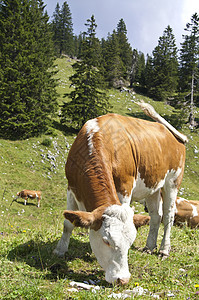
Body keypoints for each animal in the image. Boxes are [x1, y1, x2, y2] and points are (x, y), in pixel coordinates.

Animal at [54, 102, 187, 284]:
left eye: (130, 243)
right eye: (106, 241)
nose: (122, 279)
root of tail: (169, 131)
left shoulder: (125, 187)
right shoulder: (71, 187)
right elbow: (68, 223)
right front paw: (60, 250)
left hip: (173, 182)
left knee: (168, 216)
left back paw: (163, 250)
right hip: (153, 185)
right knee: (156, 215)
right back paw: (149, 247)